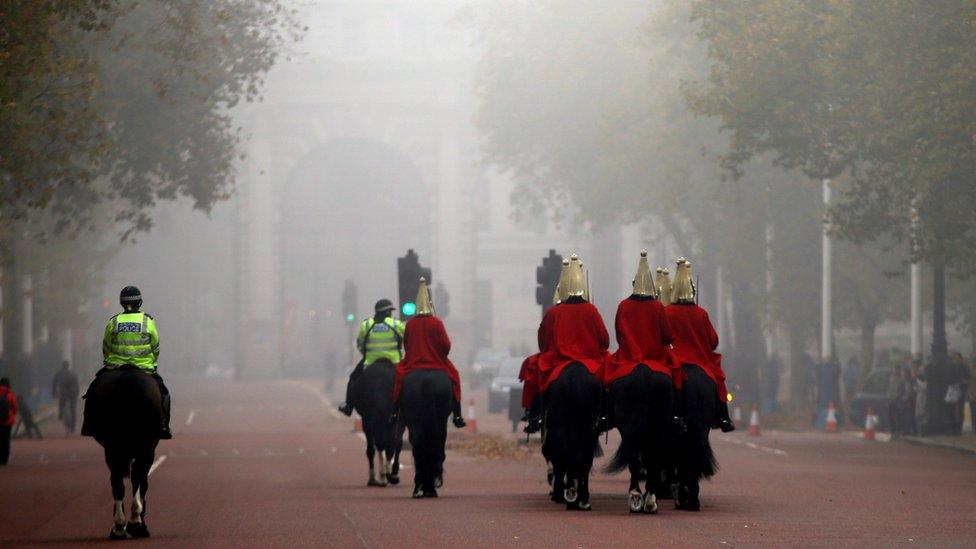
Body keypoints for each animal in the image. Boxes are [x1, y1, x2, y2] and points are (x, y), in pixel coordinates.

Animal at [84, 366, 162, 536]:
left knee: (117, 481)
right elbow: (141, 480)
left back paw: (119, 526)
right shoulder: (148, 448)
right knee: (137, 478)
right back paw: (132, 522)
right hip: (145, 446)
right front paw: (138, 520)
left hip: (113, 447)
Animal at [398, 368, 456, 496]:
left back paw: (420, 487)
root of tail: (427, 380)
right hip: (440, 420)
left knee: (417, 448)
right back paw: (429, 487)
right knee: (436, 445)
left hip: (415, 422)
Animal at [540, 364, 604, 510]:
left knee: (561, 454)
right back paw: (581, 498)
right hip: (588, 429)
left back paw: (563, 495)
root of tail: (575, 377)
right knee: (584, 457)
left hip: (560, 425)